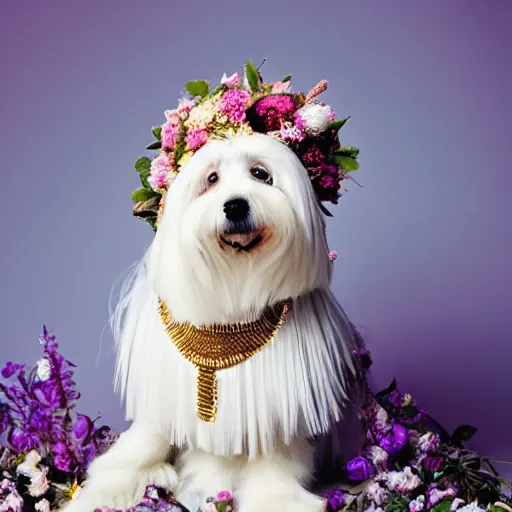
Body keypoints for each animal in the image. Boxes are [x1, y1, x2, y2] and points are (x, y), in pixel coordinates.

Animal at [65, 65, 368, 512]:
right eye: (211, 179)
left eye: (261, 174)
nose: (236, 205)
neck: (235, 284)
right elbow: (165, 446)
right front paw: (114, 488)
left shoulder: (277, 401)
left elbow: (273, 458)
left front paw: (274, 497)